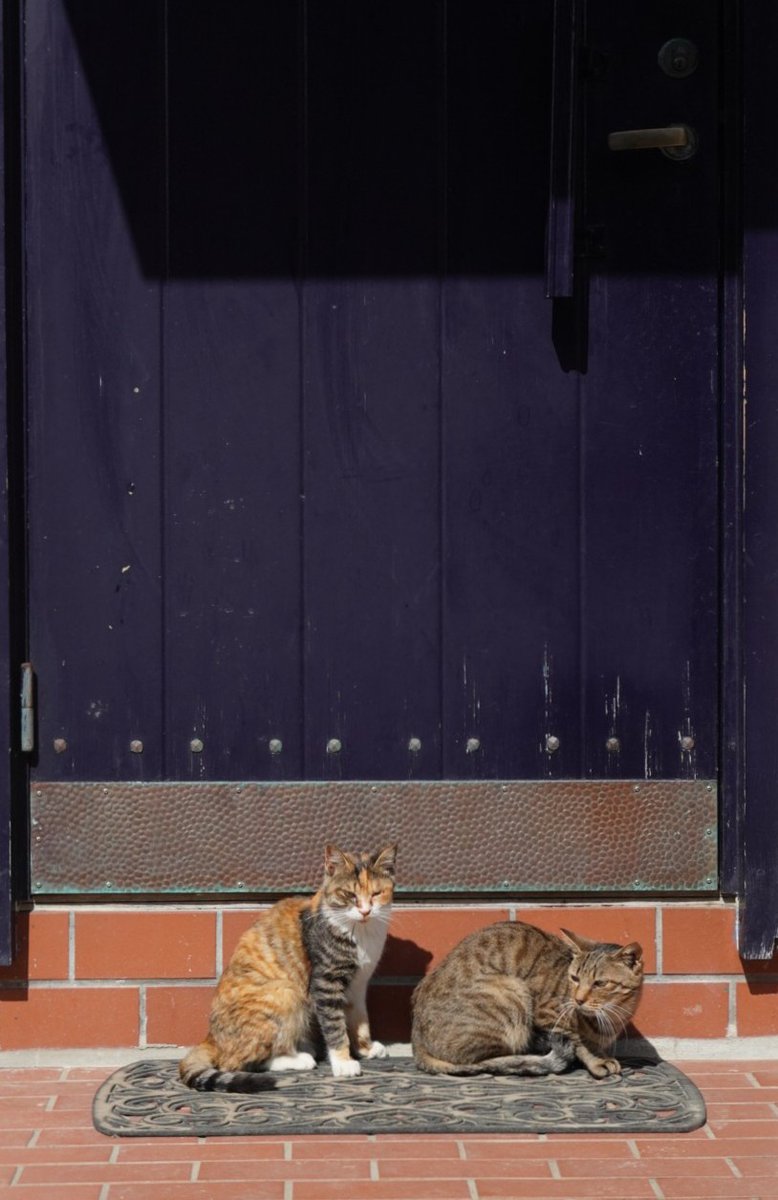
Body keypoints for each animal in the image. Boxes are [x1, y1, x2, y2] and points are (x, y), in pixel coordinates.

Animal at [176, 840, 396, 1094]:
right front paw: (343, 1062)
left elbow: (360, 1019)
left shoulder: (359, 985)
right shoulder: (325, 983)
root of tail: (211, 1038)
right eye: (349, 894)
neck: (360, 933)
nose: (365, 911)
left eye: (376, 893)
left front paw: (365, 1048)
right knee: (236, 1062)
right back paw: (299, 1059)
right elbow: (335, 1025)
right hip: (286, 993)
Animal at [410, 916, 643, 1080]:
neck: (614, 1015)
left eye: (600, 984)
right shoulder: (549, 1016)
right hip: (513, 992)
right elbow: (579, 1042)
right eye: (575, 978)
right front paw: (597, 1060)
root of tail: (416, 1038)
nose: (578, 1000)